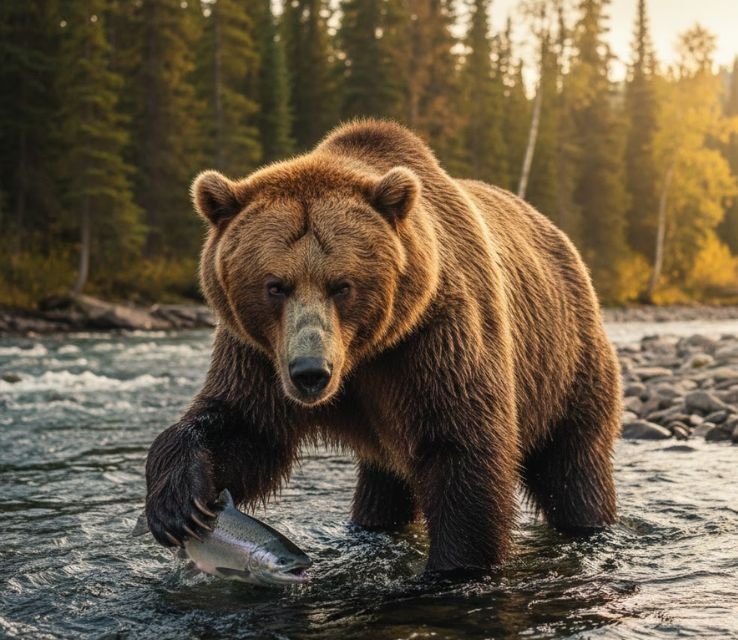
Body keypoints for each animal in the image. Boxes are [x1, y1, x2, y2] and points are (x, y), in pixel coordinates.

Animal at [144, 119, 621, 572]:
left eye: (342, 285)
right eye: (275, 285)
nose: (311, 372)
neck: (364, 354)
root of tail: (560, 236)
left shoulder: (433, 339)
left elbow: (462, 452)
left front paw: (454, 568)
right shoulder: (260, 353)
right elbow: (245, 426)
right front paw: (178, 504)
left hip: (567, 364)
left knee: (573, 469)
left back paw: (588, 524)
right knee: (382, 487)